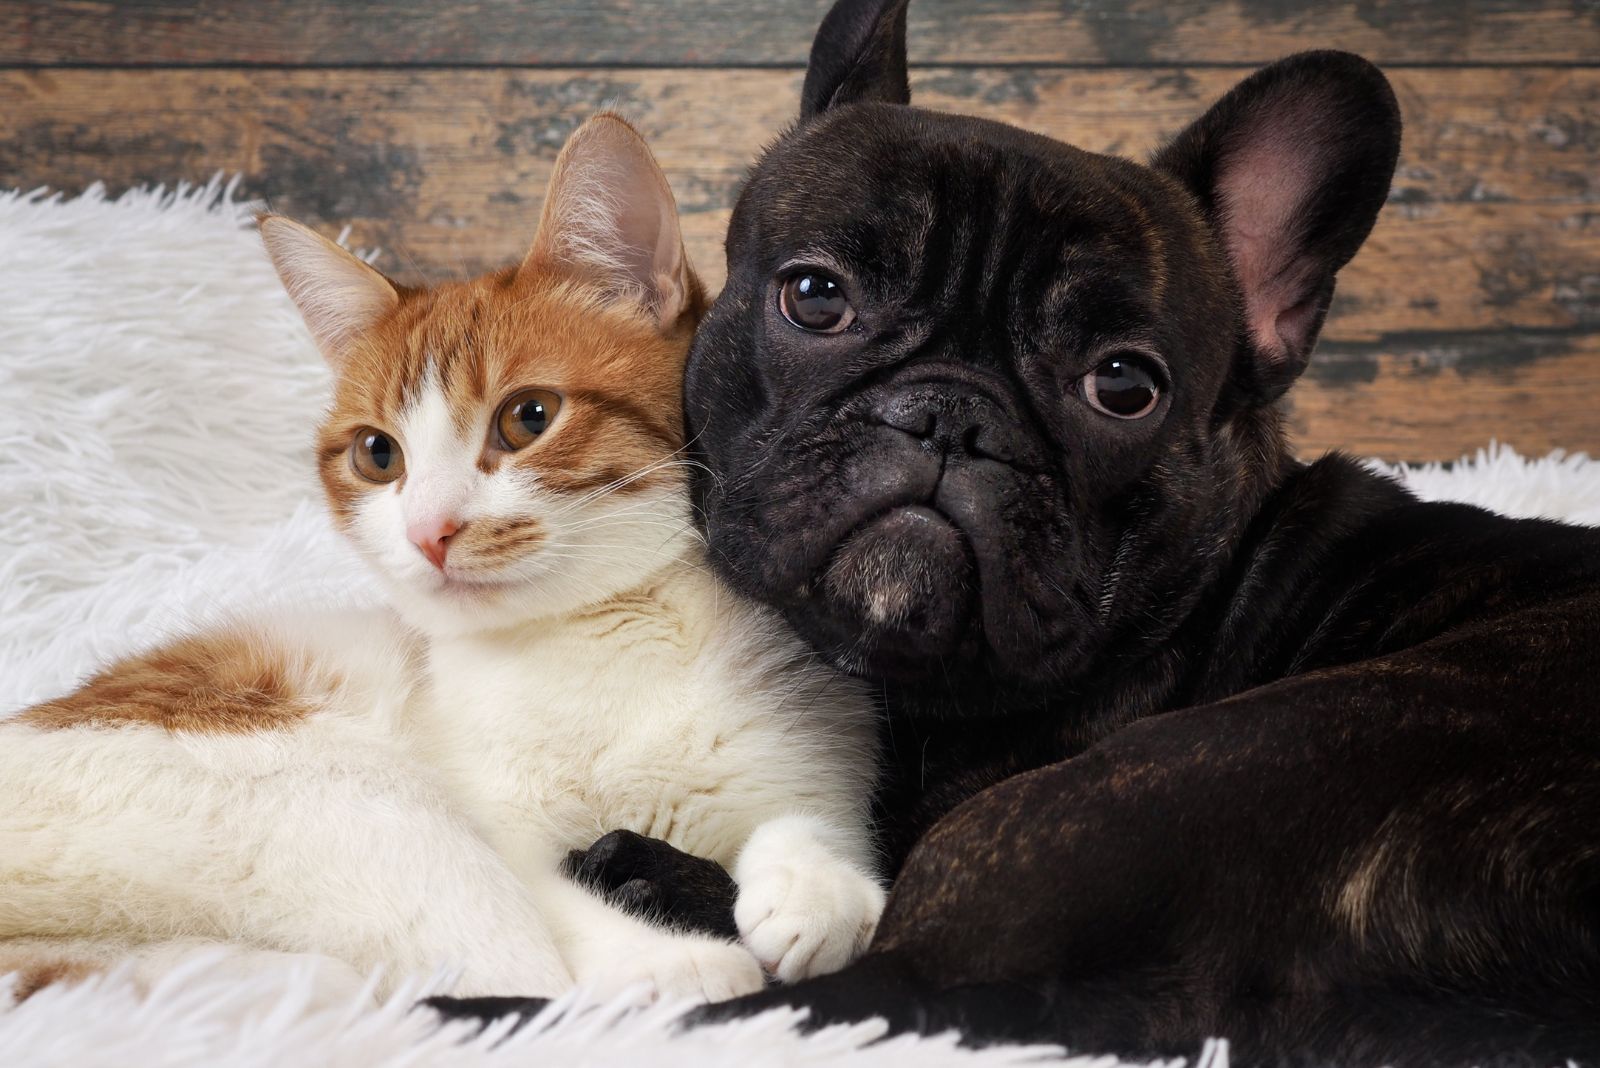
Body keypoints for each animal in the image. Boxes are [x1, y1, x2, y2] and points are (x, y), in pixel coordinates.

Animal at [0, 112, 883, 1004]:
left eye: (529, 418)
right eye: (377, 455)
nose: (429, 530)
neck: (602, 639)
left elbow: (812, 820)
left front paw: (814, 883)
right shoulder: (497, 831)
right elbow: (552, 906)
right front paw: (668, 954)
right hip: (360, 805)